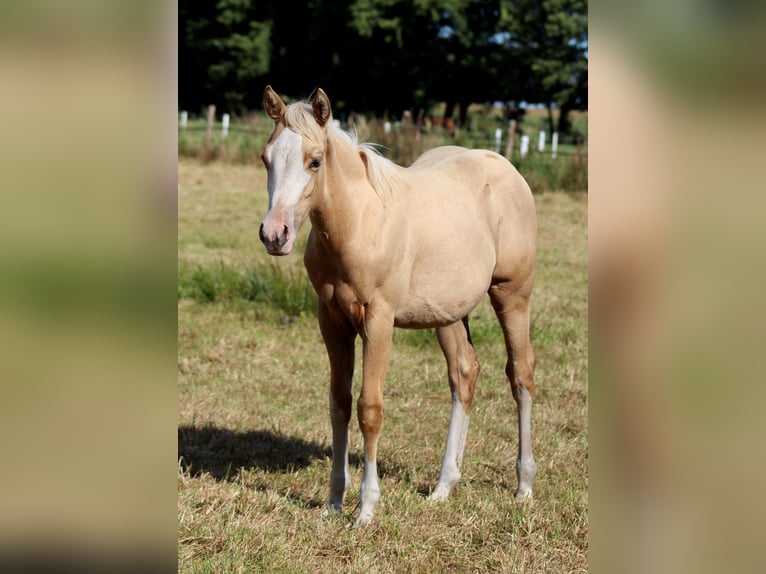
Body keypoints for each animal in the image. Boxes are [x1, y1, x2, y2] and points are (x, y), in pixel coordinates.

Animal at [258, 86, 538, 527]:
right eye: (265, 158)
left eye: (315, 161)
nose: (275, 235)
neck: (359, 223)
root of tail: (505, 167)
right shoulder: (332, 321)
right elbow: (338, 404)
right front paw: (333, 501)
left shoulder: (378, 319)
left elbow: (369, 408)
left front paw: (366, 508)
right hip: (448, 311)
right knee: (464, 373)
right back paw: (444, 487)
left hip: (512, 294)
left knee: (521, 374)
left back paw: (524, 485)